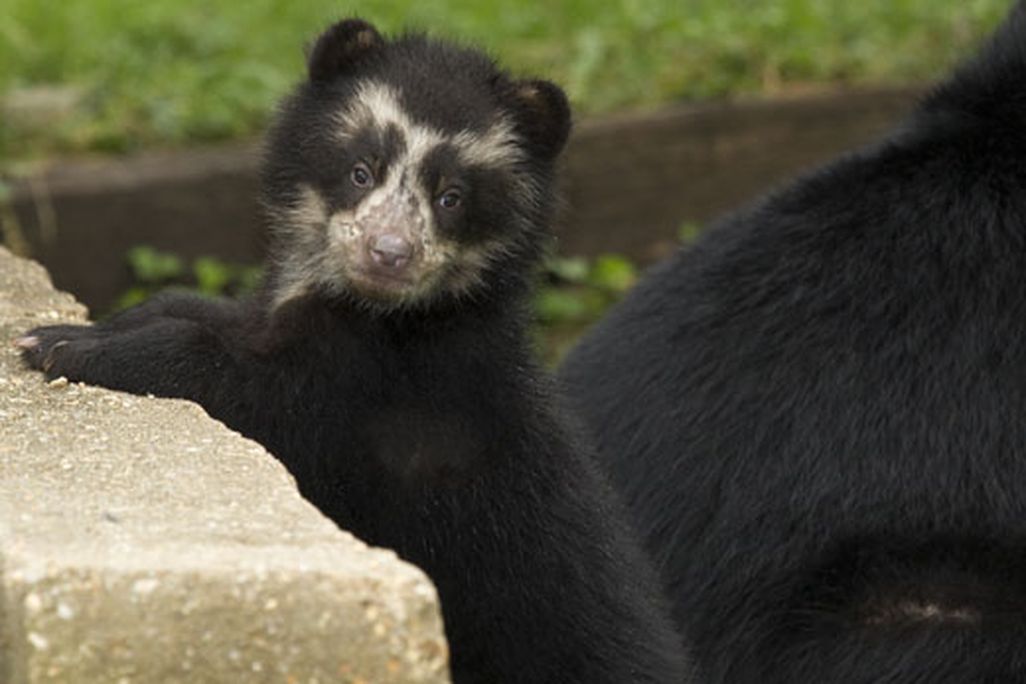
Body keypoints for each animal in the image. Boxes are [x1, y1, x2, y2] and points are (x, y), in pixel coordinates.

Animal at [18, 20, 692, 684]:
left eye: (451, 197)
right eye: (362, 169)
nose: (388, 253)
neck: (384, 315)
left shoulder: (374, 397)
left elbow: (257, 389)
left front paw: (63, 347)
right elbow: (211, 316)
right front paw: (88, 324)